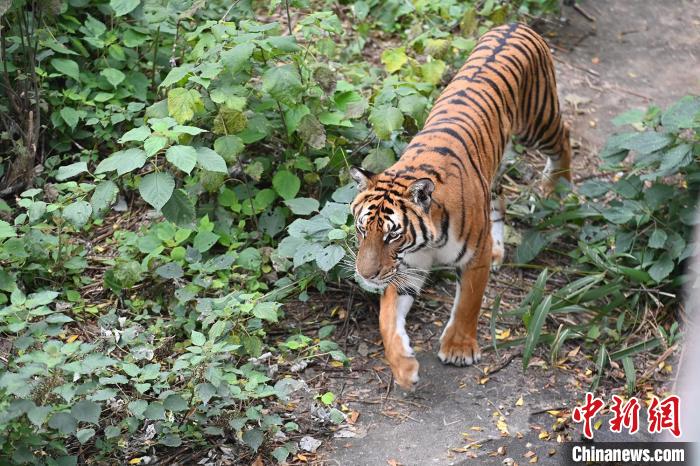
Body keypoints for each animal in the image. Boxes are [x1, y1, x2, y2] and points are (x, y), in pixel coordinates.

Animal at [348, 23, 572, 392]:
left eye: (392, 235)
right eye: (362, 229)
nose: (365, 275)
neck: (426, 242)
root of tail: (513, 24)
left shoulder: (471, 257)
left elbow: (468, 301)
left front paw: (458, 348)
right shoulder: (407, 267)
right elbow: (386, 320)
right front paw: (404, 368)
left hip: (538, 122)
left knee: (564, 139)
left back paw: (558, 188)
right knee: (499, 195)